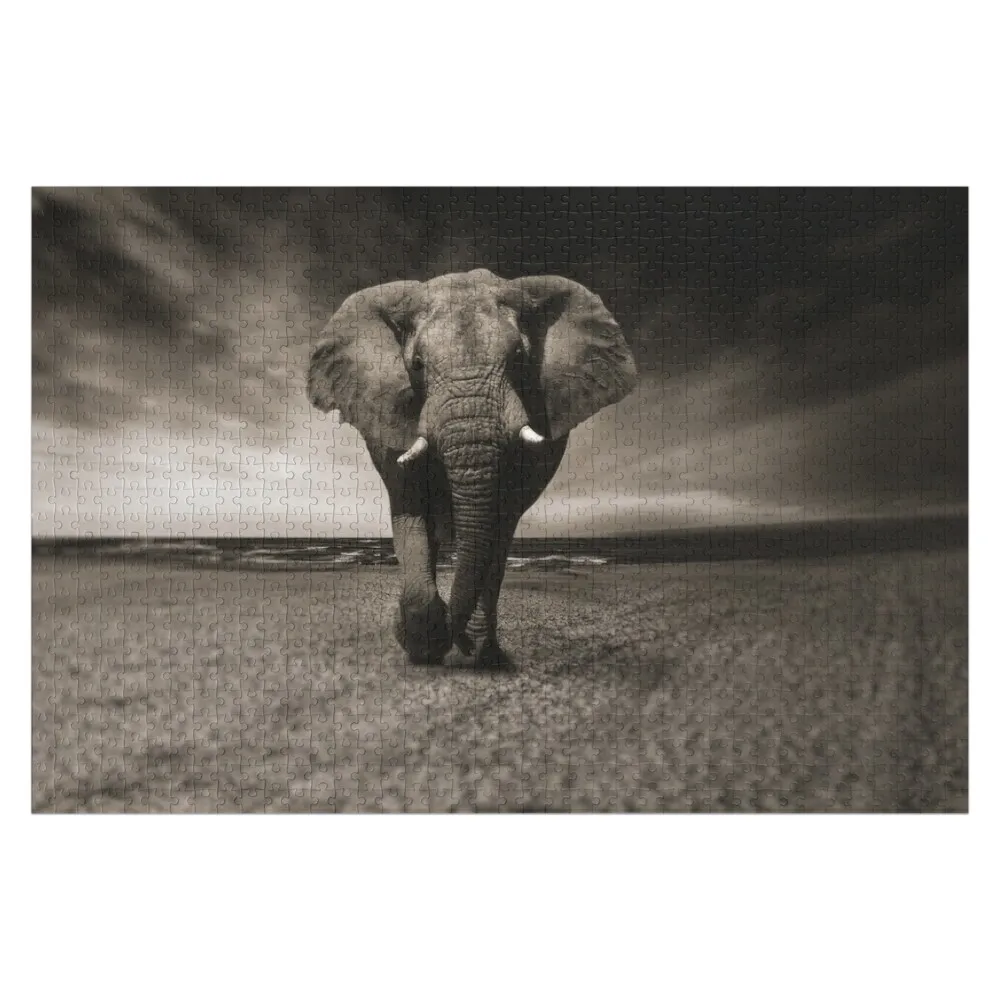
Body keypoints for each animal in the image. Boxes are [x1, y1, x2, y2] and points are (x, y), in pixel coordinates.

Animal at [308, 268, 638, 666]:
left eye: (519, 358)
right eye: (416, 365)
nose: (458, 638)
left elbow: (499, 519)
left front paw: (466, 645)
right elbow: (410, 506)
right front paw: (424, 644)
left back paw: (482, 652)